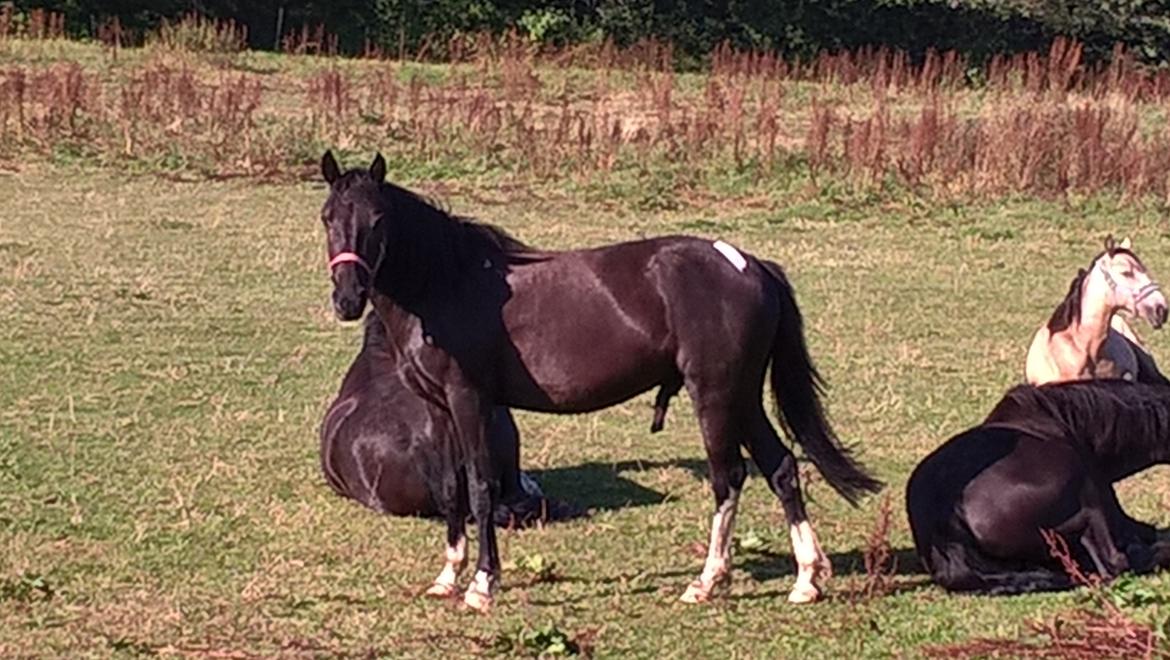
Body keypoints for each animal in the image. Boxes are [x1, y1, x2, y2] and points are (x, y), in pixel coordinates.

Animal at [315, 152, 879, 613]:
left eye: (378, 220)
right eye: (328, 218)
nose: (347, 298)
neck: (446, 282)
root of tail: (747, 263)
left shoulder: (470, 400)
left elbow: (479, 487)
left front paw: (481, 584)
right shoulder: (438, 407)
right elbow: (453, 487)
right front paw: (448, 576)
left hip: (716, 396)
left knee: (729, 478)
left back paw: (706, 581)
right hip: (742, 397)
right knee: (781, 467)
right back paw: (805, 579)